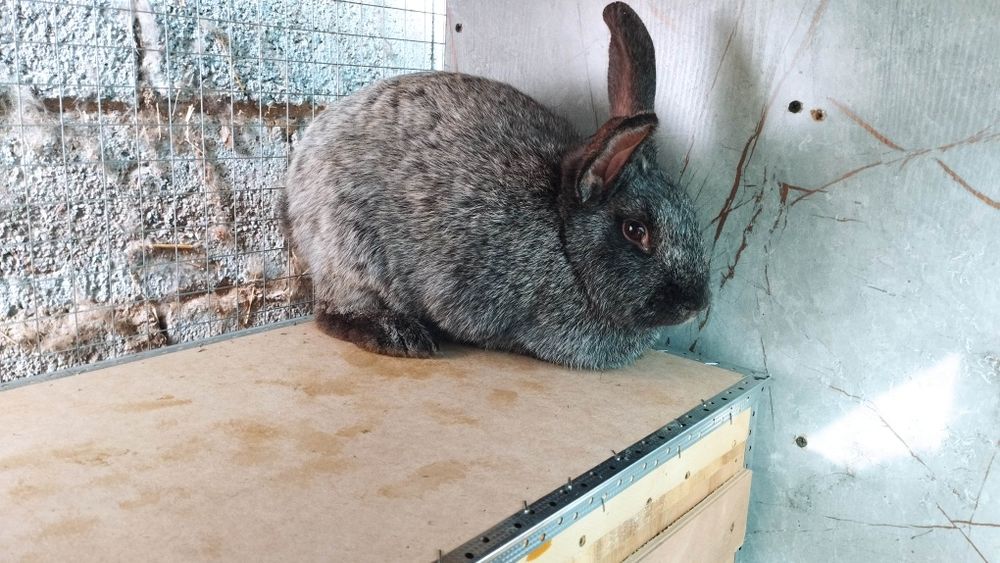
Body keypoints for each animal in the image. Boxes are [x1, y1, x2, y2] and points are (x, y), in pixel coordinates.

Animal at [279, 2, 709, 369]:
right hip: (349, 250)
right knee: (331, 313)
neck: (563, 239)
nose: (698, 303)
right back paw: (402, 336)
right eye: (635, 230)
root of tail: (300, 162)